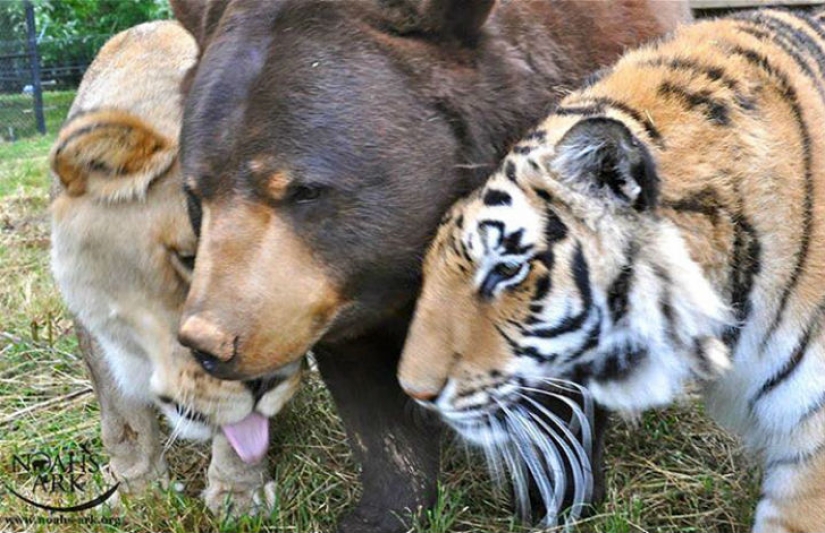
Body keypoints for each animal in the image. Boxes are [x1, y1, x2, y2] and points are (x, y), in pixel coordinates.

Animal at [49, 20, 303, 515]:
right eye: (190, 258)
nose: (268, 380)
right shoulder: (95, 328)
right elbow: (123, 420)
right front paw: (138, 491)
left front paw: (240, 496)